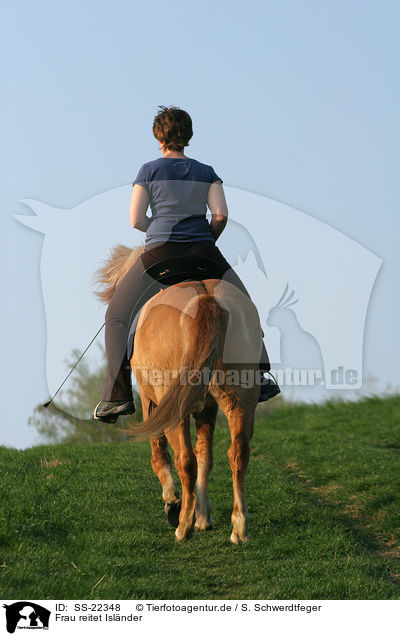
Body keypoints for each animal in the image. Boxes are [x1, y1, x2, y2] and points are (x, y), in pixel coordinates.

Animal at [95, 246, 264, 544]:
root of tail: (207, 299)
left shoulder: (151, 402)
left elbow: (159, 452)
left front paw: (174, 503)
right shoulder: (208, 407)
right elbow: (206, 455)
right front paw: (204, 517)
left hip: (173, 406)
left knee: (185, 459)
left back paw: (183, 525)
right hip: (239, 399)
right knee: (237, 452)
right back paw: (239, 526)